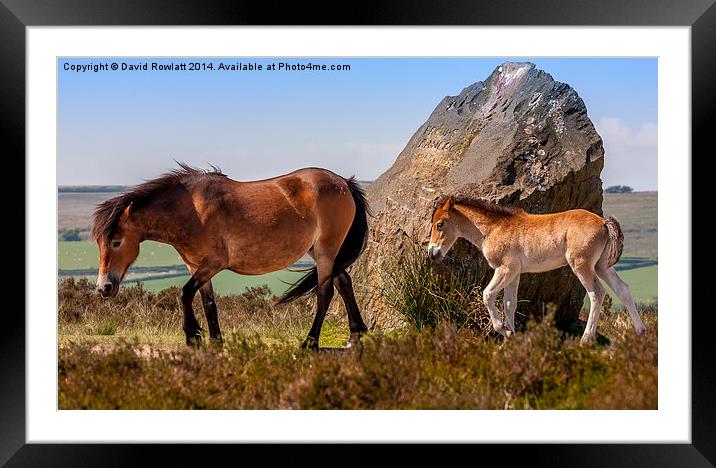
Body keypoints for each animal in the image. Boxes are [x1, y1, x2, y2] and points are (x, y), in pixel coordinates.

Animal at [91, 163, 370, 350]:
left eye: (116, 242)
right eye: (99, 243)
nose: (104, 287)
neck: (191, 211)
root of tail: (343, 182)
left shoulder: (213, 263)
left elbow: (184, 293)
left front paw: (192, 336)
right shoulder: (195, 266)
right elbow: (208, 303)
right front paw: (215, 341)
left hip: (326, 251)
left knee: (326, 293)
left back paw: (310, 342)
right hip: (322, 252)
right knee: (344, 283)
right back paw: (355, 336)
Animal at [428, 194, 648, 344]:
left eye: (440, 224)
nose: (432, 253)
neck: (494, 228)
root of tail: (603, 221)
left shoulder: (505, 269)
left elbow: (488, 295)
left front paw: (504, 330)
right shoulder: (515, 273)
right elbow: (510, 303)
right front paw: (511, 339)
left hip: (581, 265)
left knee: (597, 293)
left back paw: (586, 339)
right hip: (601, 266)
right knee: (623, 290)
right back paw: (640, 332)